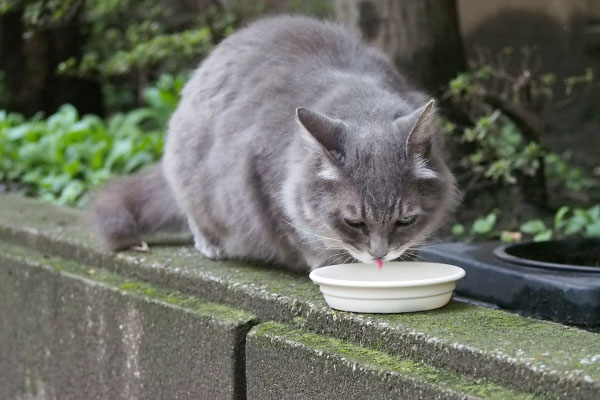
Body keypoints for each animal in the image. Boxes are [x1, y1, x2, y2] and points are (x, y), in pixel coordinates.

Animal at [91, 14, 460, 272]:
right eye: (353, 222)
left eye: (405, 220)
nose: (380, 254)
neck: (360, 102)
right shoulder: (266, 188)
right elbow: (303, 237)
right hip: (191, 177)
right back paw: (212, 245)